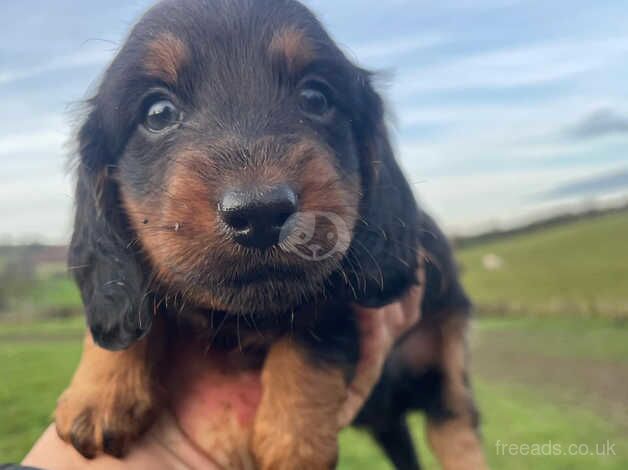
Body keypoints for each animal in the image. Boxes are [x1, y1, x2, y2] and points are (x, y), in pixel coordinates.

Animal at [55, 1, 486, 468]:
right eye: (158, 113)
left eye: (315, 97)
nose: (260, 214)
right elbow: (126, 295)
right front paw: (101, 390)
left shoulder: (336, 287)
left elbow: (311, 337)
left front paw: (294, 441)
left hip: (446, 357)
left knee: (455, 426)